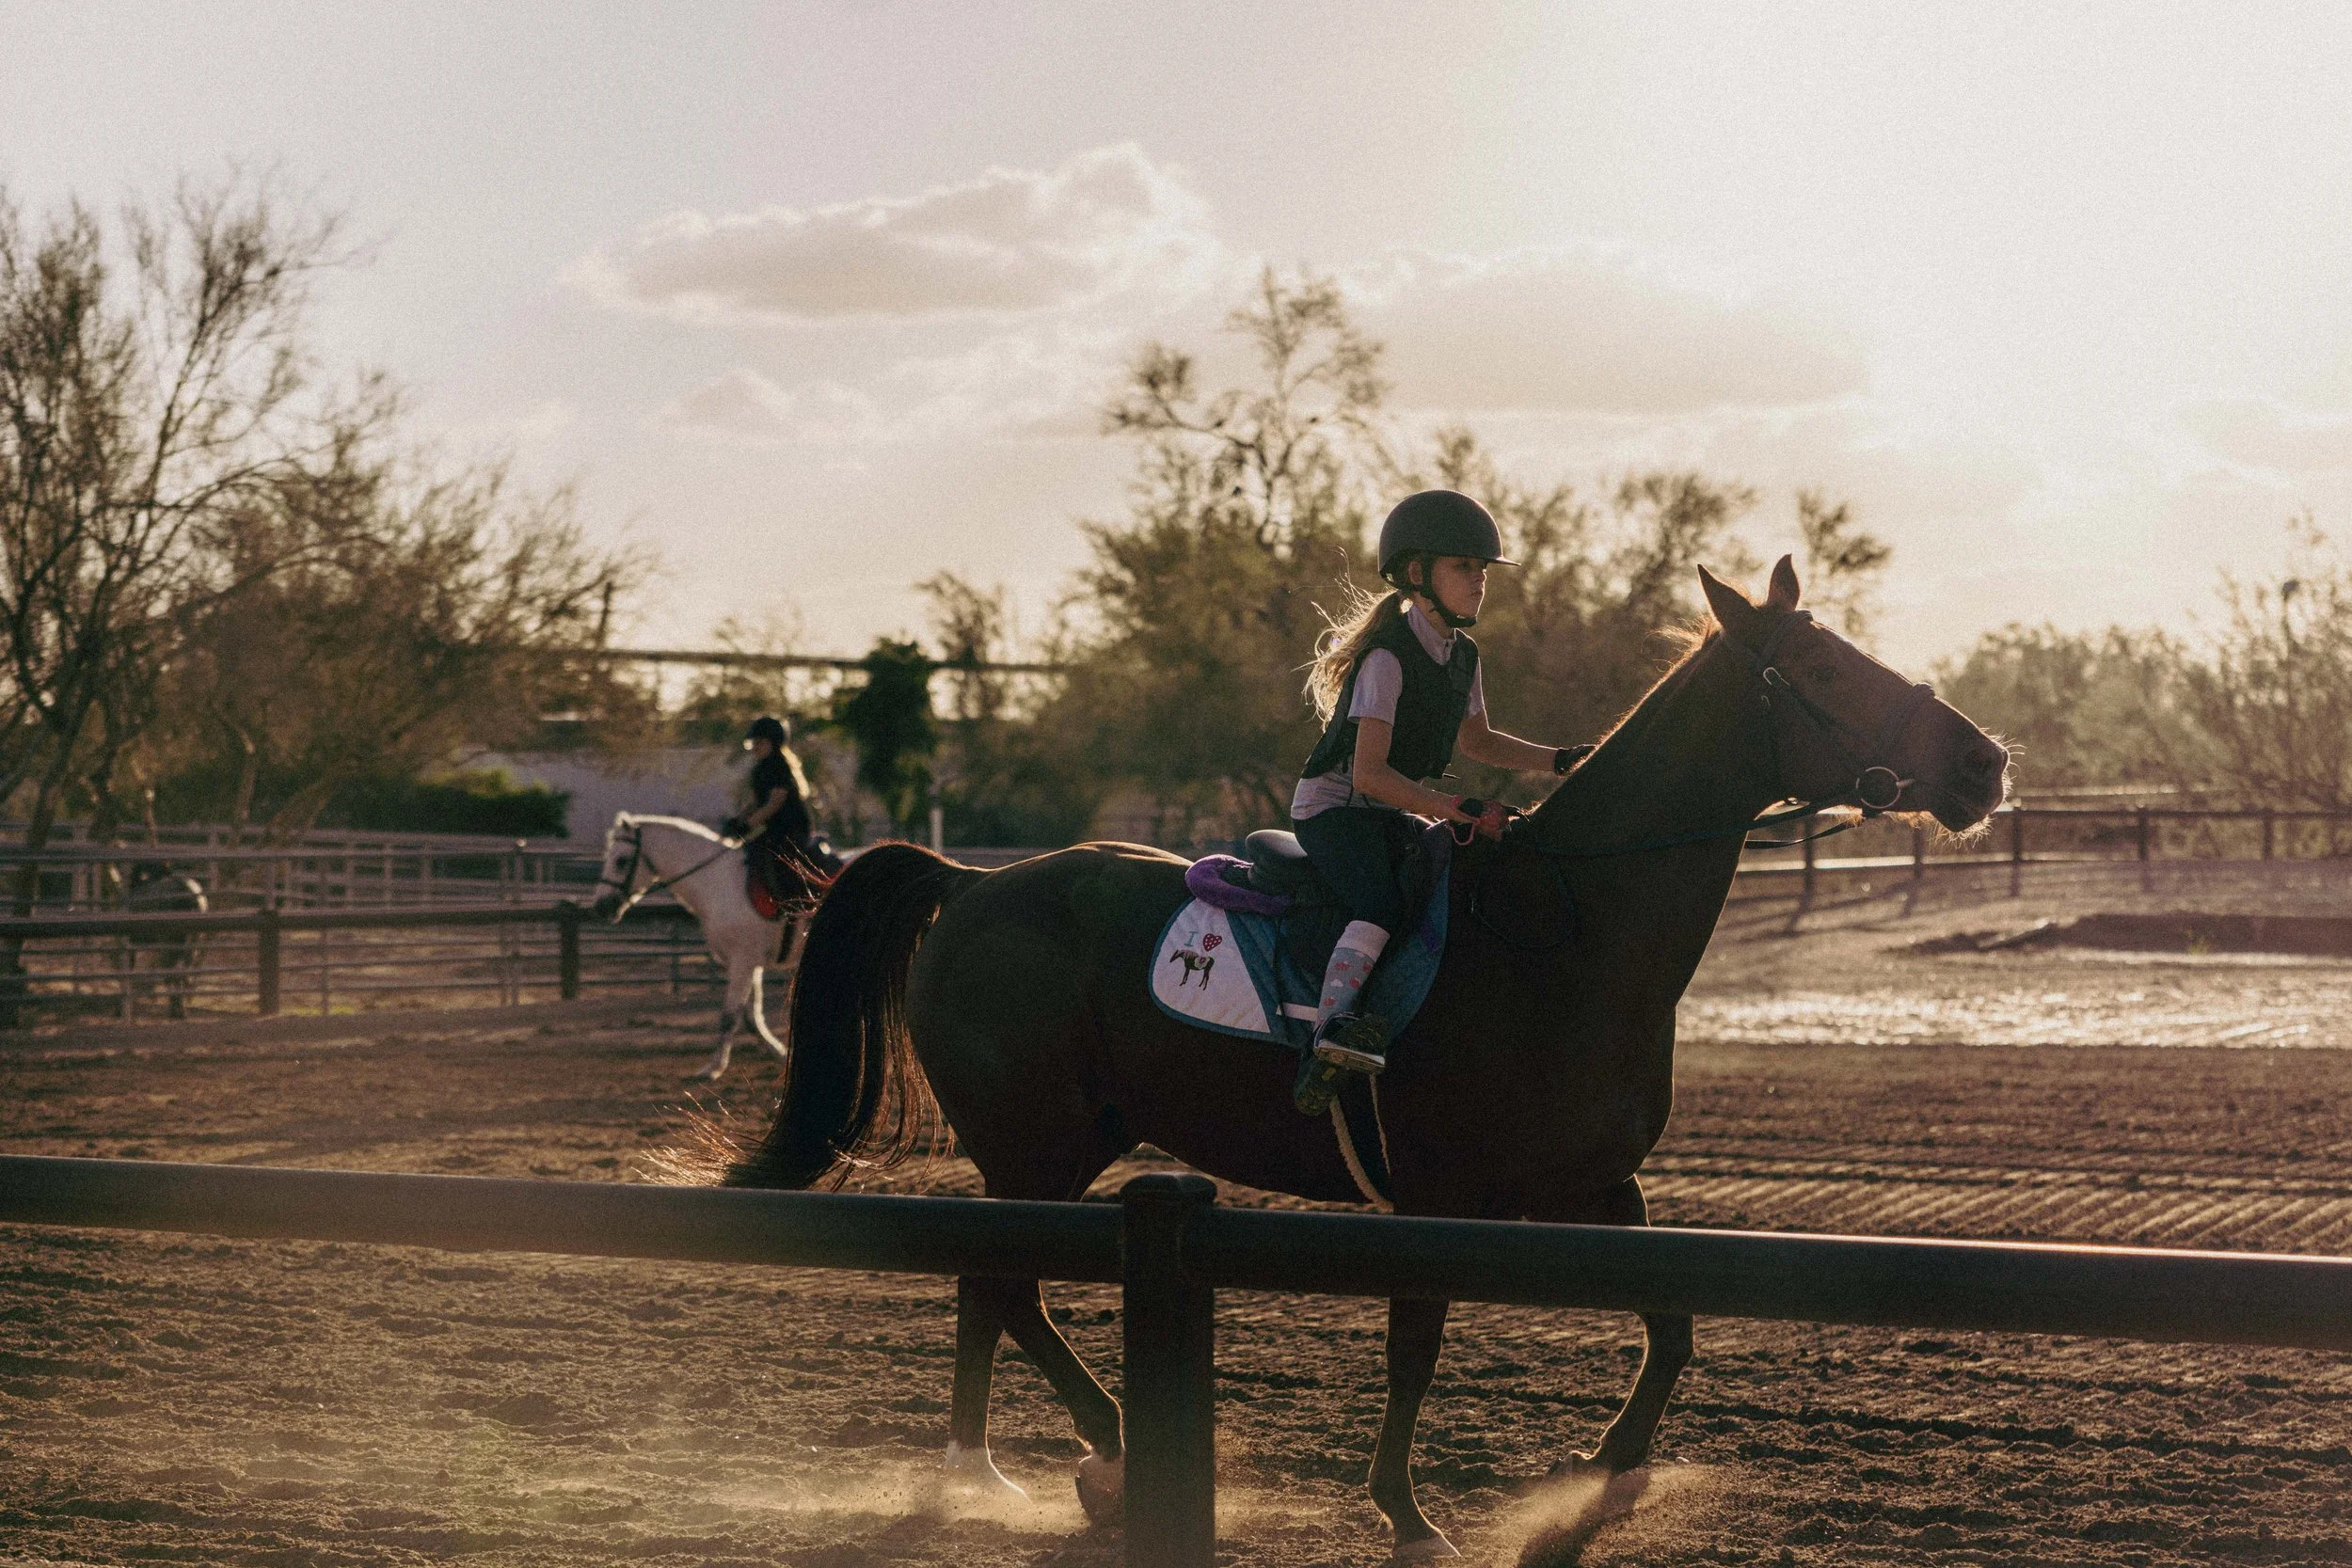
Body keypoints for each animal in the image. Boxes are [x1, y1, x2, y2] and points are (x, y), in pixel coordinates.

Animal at [588, 813, 823, 1081]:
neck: (718, 882)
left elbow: (730, 1016)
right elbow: (750, 1016)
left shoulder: (743, 961)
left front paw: (714, 1067)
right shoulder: (745, 963)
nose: (600, 906)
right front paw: (780, 1052)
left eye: (621, 861)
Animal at [720, 559, 2011, 1559]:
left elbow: (1672, 1325)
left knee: (988, 1289)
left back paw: (986, 1465)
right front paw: (1405, 1512)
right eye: (1828, 672)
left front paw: (1607, 1466)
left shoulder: (1599, 1183)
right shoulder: (1436, 1199)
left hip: (1041, 1156)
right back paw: (1101, 1451)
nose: (1987, 762)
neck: (1562, 932)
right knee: (1008, 1290)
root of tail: (971, 883)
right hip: (1035, 1150)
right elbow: (1414, 1348)